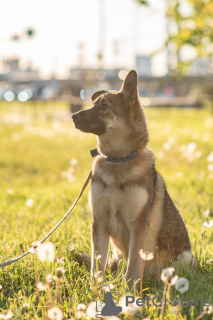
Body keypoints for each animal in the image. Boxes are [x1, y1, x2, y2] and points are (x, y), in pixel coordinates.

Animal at [72, 70, 196, 290]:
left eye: (104, 106)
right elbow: (97, 265)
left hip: (184, 258)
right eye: (94, 104)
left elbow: (133, 268)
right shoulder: (99, 224)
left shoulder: (138, 227)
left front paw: (129, 292)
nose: (73, 116)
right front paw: (95, 289)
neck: (118, 160)